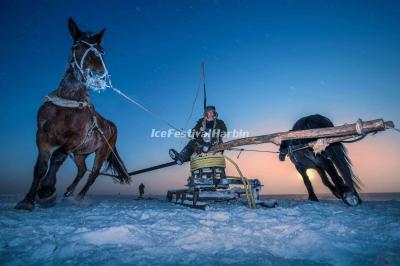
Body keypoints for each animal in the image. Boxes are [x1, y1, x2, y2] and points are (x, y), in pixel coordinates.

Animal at [15, 17, 130, 211]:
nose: (99, 75)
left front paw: (47, 190)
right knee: (82, 170)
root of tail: (111, 125)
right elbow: (40, 167)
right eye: (77, 46)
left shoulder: (75, 139)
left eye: (102, 51)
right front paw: (28, 200)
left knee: (93, 174)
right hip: (80, 153)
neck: (68, 102)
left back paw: (79, 197)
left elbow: (57, 157)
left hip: (101, 151)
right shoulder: (42, 135)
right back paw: (69, 191)